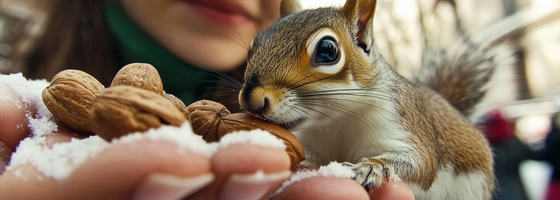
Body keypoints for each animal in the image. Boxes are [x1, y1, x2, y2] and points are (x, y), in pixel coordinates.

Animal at [236, 0, 516, 200]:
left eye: (327, 50)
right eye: (254, 44)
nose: (252, 100)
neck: (338, 121)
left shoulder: (402, 124)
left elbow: (422, 164)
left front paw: (372, 168)